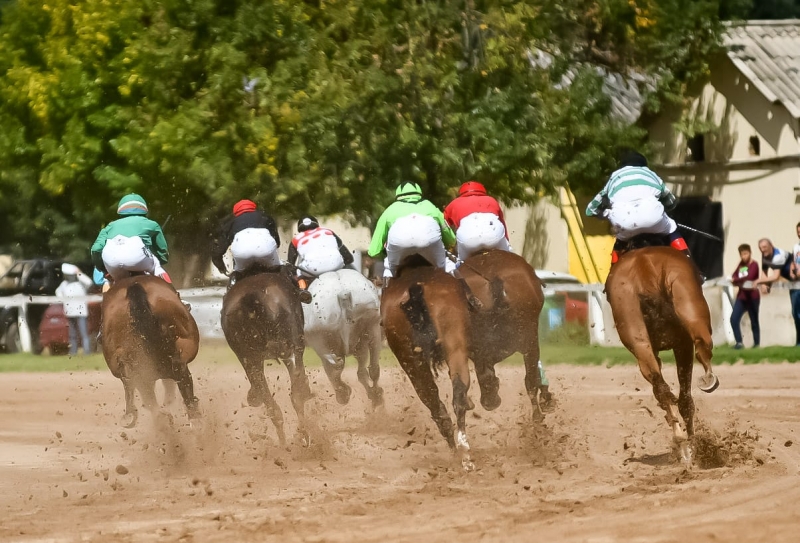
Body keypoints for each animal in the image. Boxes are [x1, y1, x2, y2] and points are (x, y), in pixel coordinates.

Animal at [223, 270, 314, 444]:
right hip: (289, 349)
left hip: (250, 360)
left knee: (272, 407)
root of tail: (251, 298)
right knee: (297, 394)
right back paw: (304, 436)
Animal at [382, 258, 476, 470]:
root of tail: (417, 288)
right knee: (456, 395)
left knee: (437, 401)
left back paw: (458, 452)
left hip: (413, 360)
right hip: (452, 347)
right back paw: (463, 453)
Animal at [608, 246, 720, 464]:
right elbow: (685, 398)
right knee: (701, 351)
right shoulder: (681, 344)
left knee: (660, 385)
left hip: (640, 340)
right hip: (689, 322)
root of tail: (643, 267)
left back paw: (680, 441)